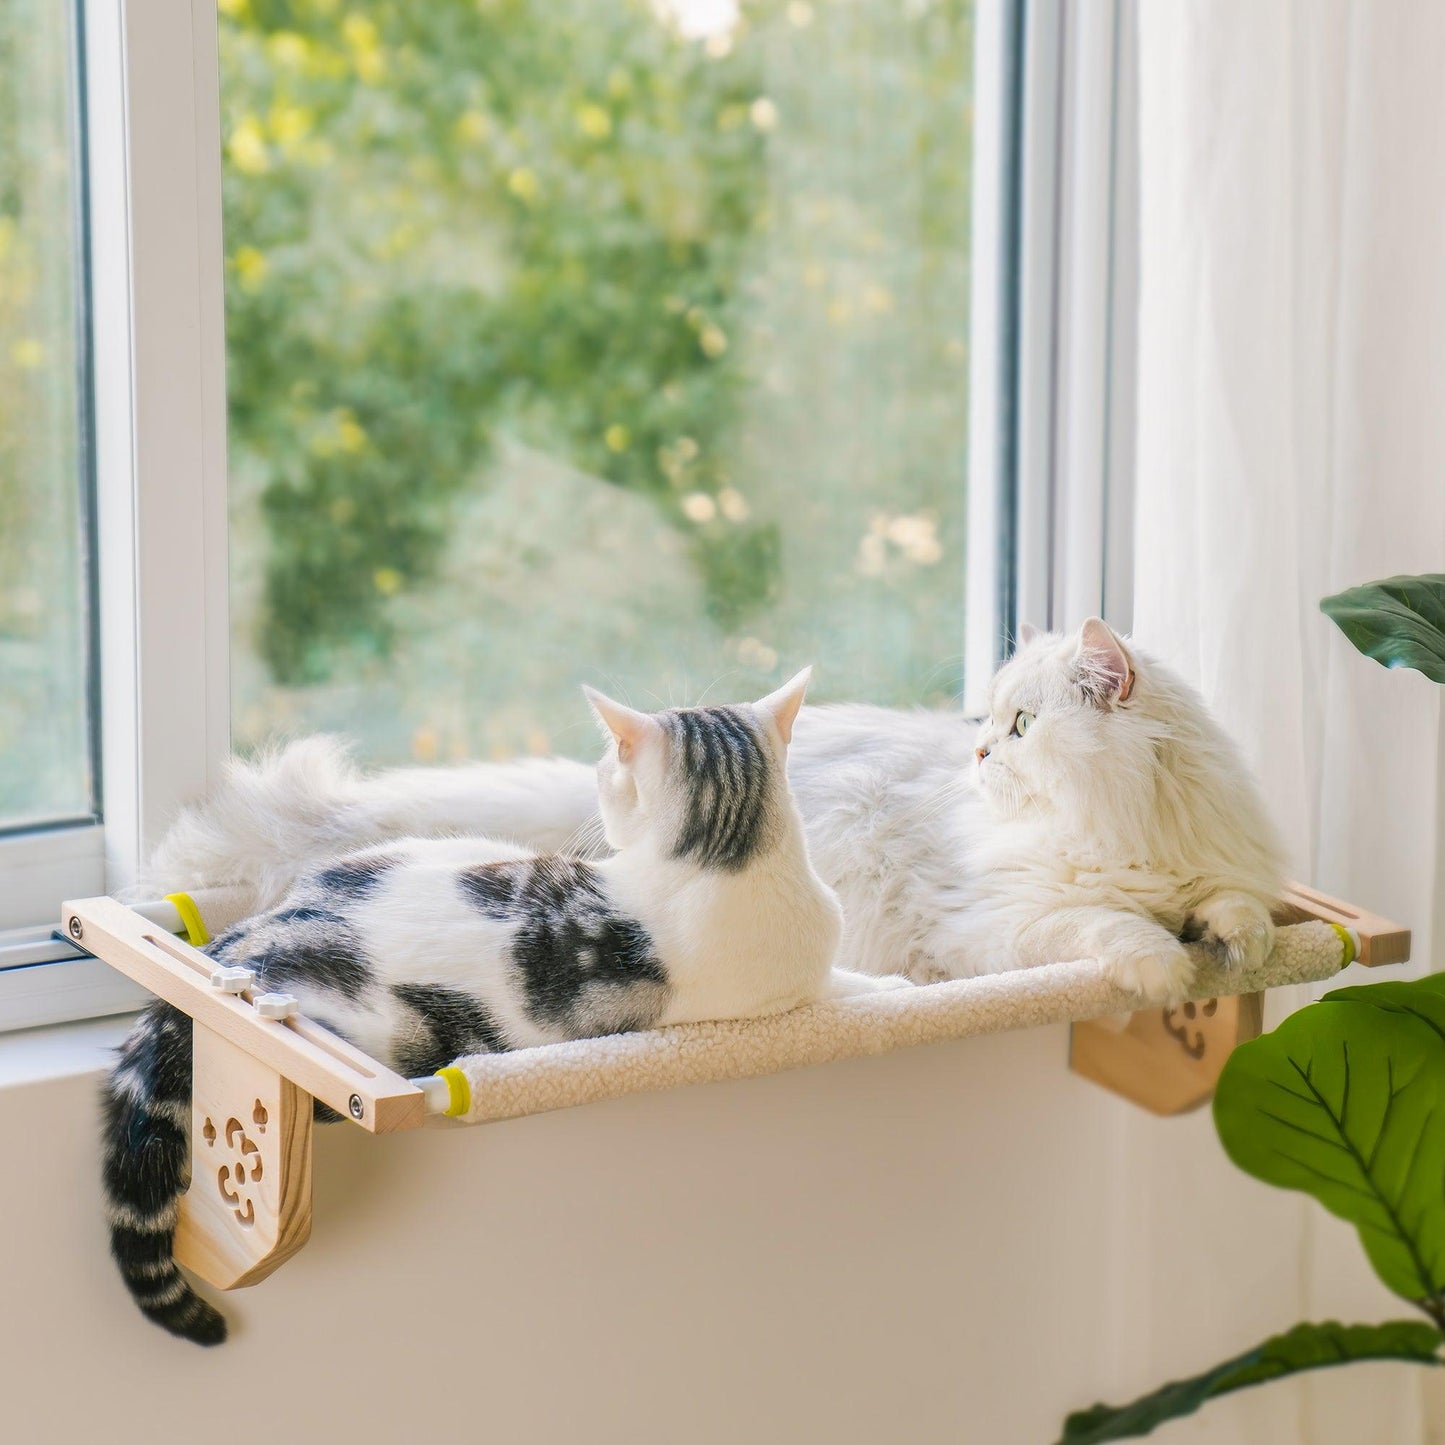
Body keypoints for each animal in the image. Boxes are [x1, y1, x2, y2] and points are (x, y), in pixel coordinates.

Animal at [106, 673, 895, 1340]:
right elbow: (849, 983)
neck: (720, 857)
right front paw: (889, 987)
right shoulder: (797, 983)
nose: (598, 792)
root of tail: (247, 941)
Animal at [152, 618, 1288, 1005]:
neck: (1131, 825)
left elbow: (1241, 909)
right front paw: (1164, 968)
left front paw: (1233, 948)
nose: (975, 752)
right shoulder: (992, 919)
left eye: (1019, 725)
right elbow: (1108, 927)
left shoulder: (1222, 866)